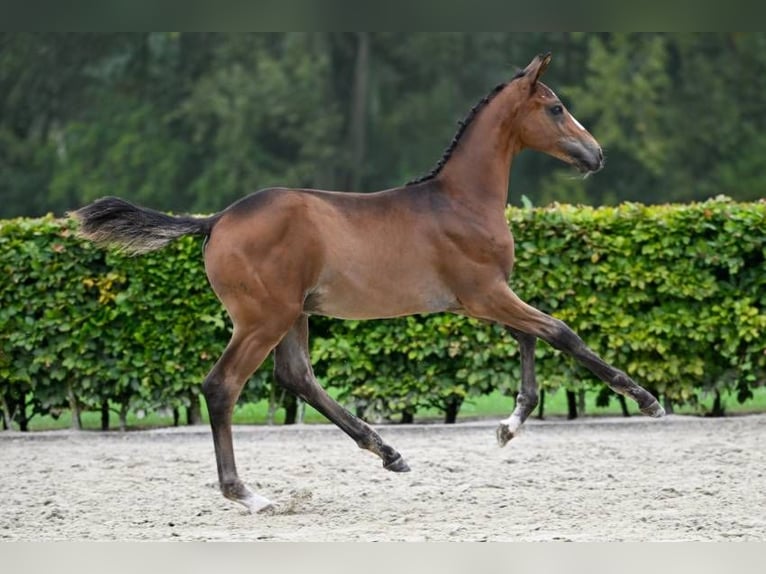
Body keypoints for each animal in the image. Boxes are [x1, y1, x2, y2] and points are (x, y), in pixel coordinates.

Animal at [75, 53, 668, 512]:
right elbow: (561, 332)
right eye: (556, 107)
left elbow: (531, 337)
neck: (459, 201)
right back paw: (247, 494)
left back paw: (387, 452)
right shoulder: (486, 292)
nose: (596, 154)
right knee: (223, 387)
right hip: (263, 319)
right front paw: (645, 399)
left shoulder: (482, 299)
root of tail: (216, 220)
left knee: (297, 377)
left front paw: (510, 424)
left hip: (294, 314)